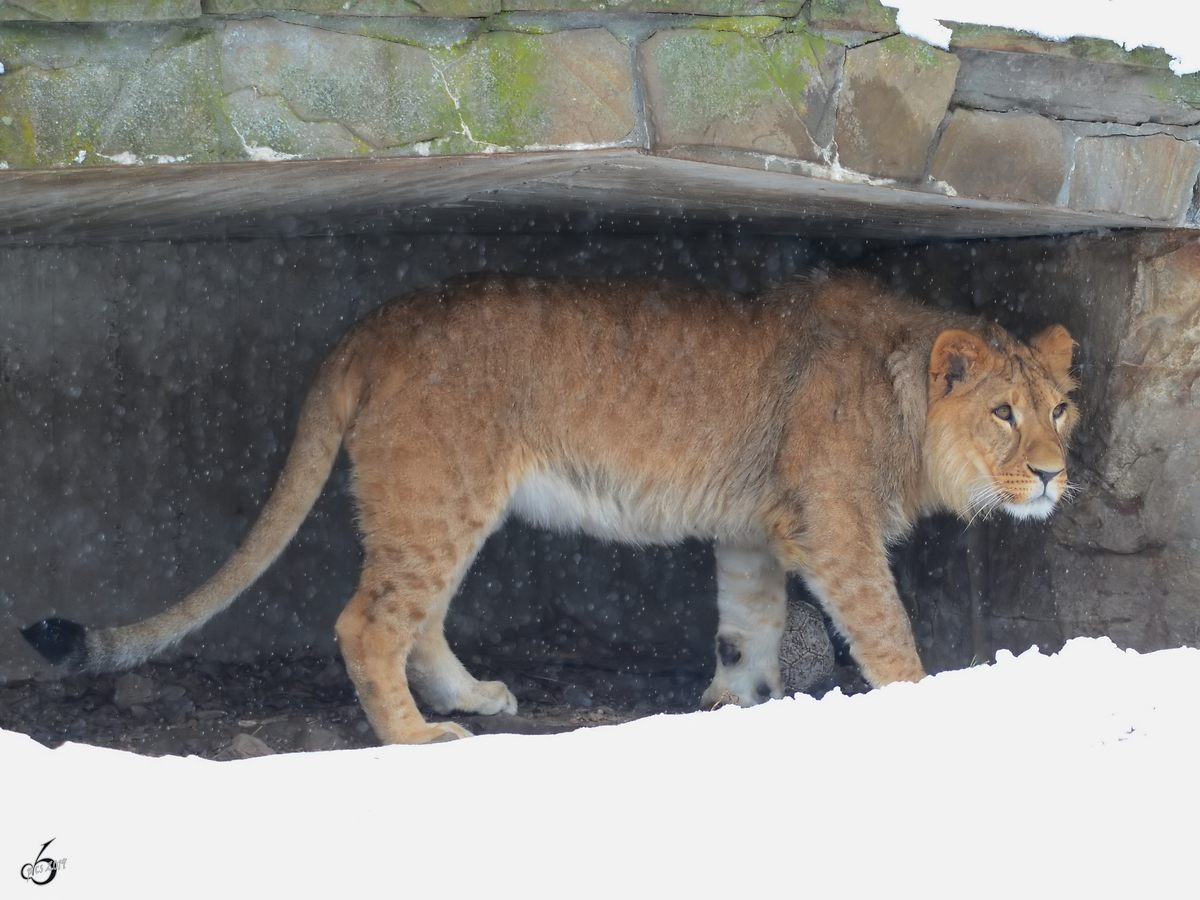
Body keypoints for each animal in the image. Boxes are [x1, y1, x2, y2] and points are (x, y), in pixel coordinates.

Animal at [18, 274, 1075, 748]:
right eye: (1003, 413)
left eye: (1061, 407)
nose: (1055, 475)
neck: (902, 402)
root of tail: (373, 324)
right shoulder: (834, 522)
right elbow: (886, 630)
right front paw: (928, 709)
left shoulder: (751, 528)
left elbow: (749, 626)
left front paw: (732, 710)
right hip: (439, 492)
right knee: (369, 622)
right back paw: (418, 739)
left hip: (451, 501)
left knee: (420, 617)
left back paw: (470, 698)